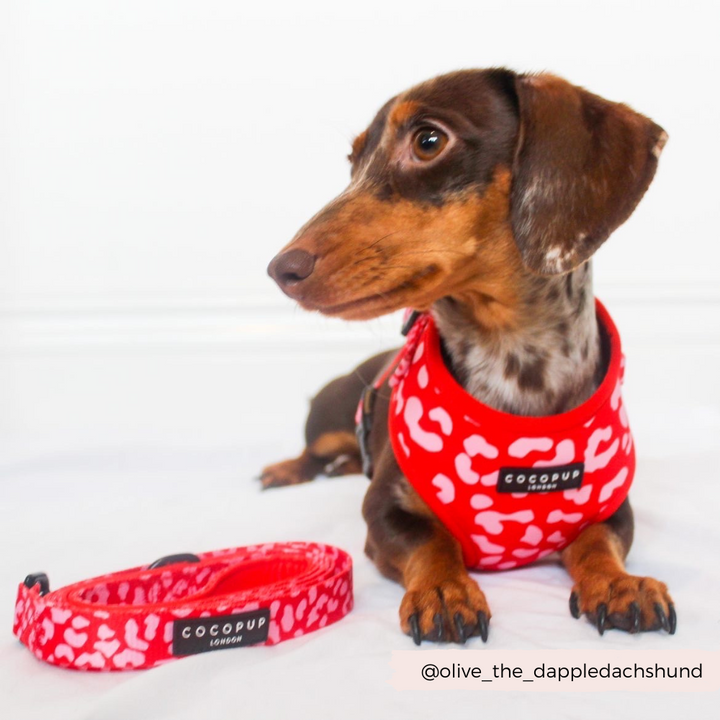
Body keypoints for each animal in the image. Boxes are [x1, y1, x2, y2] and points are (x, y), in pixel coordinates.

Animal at [260, 67, 676, 644]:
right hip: (328, 416)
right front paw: (444, 591)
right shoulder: (382, 512)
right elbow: (433, 541)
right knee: (314, 451)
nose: (281, 269)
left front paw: (619, 584)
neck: (516, 361)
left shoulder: (615, 509)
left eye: (429, 141)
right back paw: (287, 469)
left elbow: (597, 540)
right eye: (352, 161)